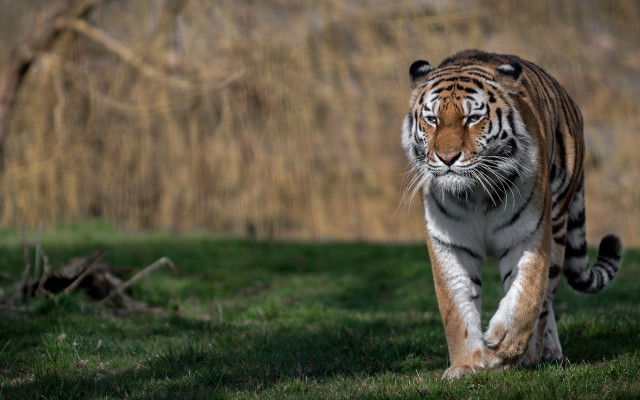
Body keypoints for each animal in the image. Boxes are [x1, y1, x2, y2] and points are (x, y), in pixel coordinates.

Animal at [401, 50, 623, 378]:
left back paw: (538, 354)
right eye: (432, 119)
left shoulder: (529, 235)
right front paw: (465, 365)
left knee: (546, 299)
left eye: (472, 118)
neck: (476, 195)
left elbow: (525, 298)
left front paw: (503, 348)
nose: (447, 157)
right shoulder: (449, 243)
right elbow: (456, 306)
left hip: (558, 225)